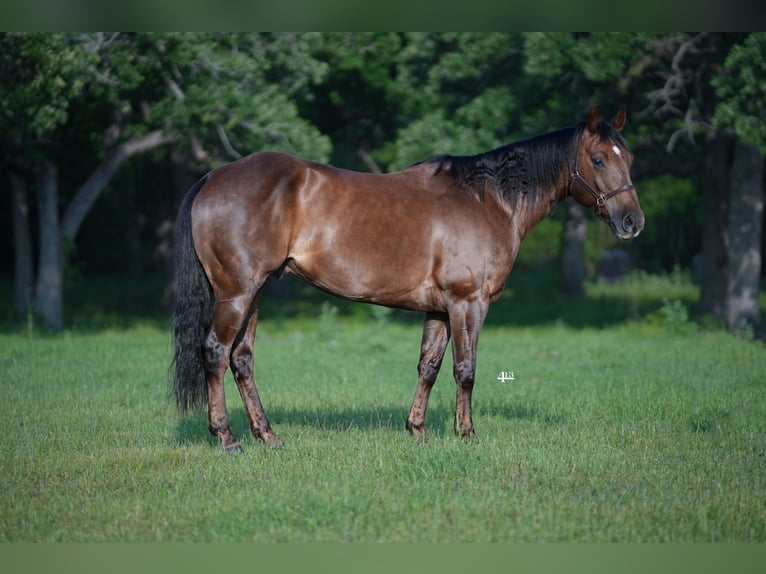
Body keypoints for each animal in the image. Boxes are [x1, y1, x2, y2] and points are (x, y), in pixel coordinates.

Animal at [171, 104, 644, 454]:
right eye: (598, 159)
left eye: (630, 158)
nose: (632, 222)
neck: (486, 201)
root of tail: (213, 177)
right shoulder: (468, 302)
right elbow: (466, 369)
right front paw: (466, 434)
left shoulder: (438, 309)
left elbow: (429, 367)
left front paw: (417, 430)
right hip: (236, 293)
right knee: (216, 353)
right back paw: (227, 438)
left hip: (254, 293)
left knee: (242, 359)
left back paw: (267, 435)